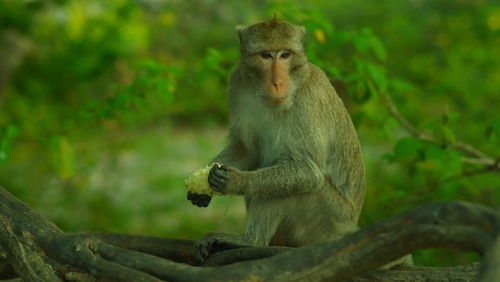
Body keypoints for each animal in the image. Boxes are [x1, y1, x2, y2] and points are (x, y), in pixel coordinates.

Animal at [188, 17, 368, 260]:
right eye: (266, 55)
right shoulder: (237, 84)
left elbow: (309, 172)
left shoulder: (308, 101)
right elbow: (247, 150)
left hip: (328, 218)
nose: (277, 83)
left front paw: (238, 181)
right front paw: (204, 179)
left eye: (285, 55)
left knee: (288, 181)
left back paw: (250, 241)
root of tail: (349, 228)